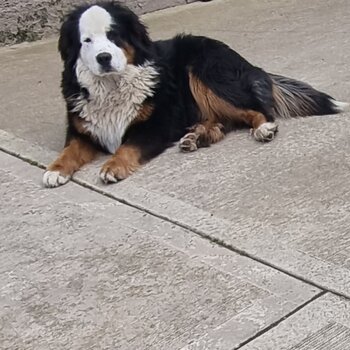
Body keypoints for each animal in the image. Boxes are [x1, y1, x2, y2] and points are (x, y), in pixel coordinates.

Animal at [43, 1, 348, 187]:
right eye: (86, 40)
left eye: (114, 36)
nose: (104, 58)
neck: (112, 86)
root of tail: (248, 64)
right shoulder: (82, 129)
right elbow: (70, 149)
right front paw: (55, 170)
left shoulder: (156, 126)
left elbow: (126, 147)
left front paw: (112, 167)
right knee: (223, 121)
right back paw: (197, 137)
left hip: (203, 71)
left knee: (255, 109)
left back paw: (263, 129)